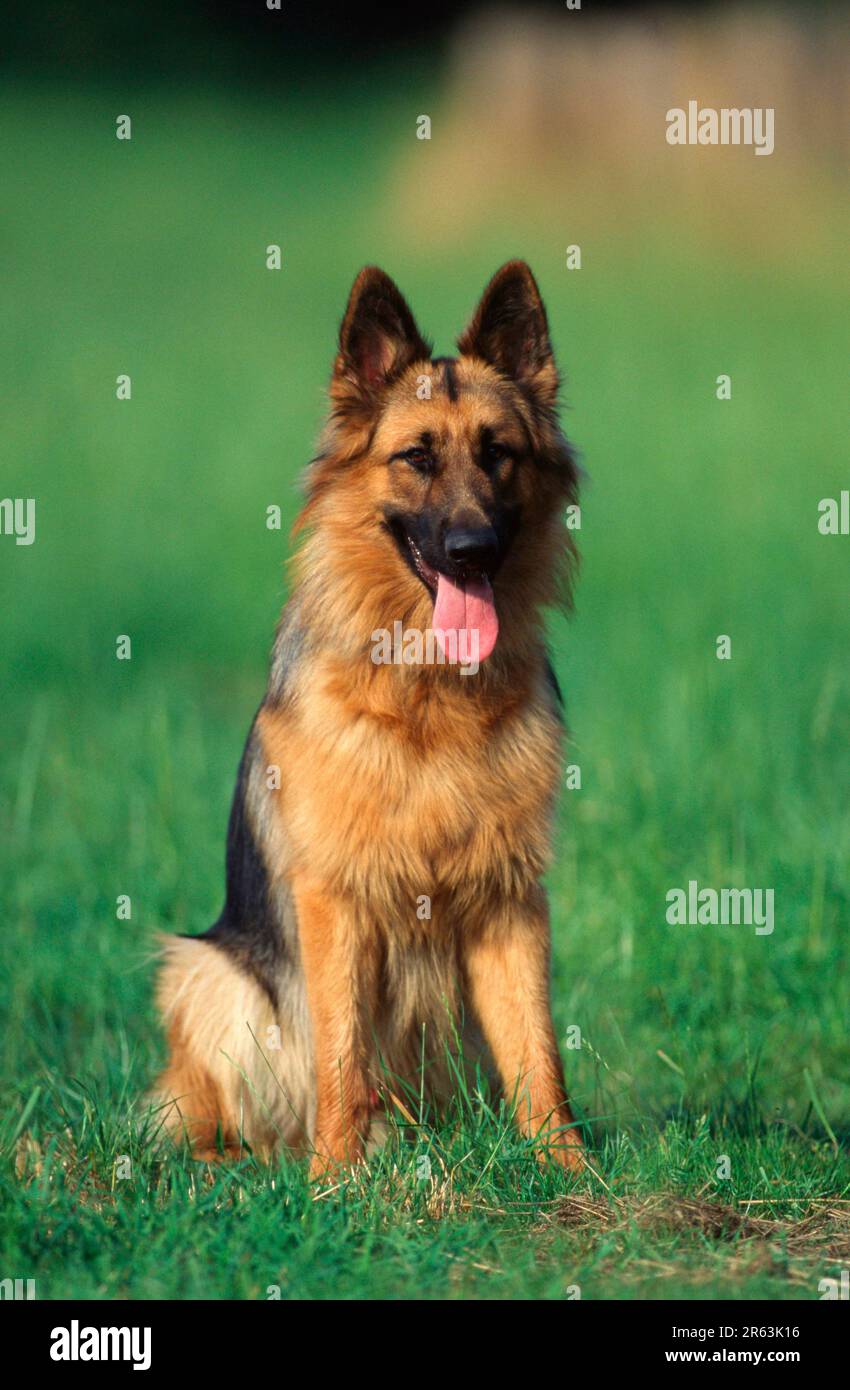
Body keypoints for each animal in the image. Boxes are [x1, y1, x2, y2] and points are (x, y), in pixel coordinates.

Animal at [151, 261, 583, 1173]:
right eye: (415, 457)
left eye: (499, 454)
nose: (473, 551)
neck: (428, 694)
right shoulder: (337, 901)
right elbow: (343, 1053)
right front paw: (336, 1184)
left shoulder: (510, 902)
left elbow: (539, 1056)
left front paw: (574, 1174)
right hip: (206, 976)